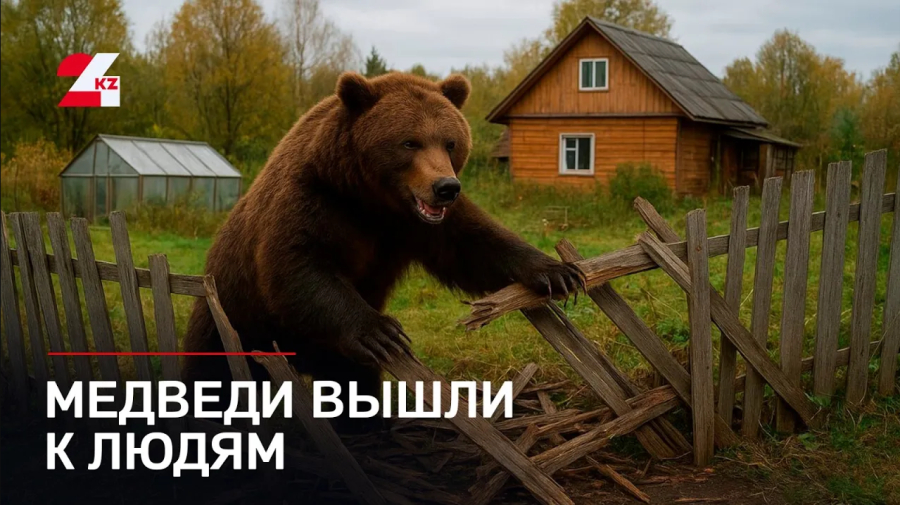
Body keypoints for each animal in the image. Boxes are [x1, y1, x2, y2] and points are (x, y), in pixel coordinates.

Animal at [182, 71, 583, 431]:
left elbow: (475, 245)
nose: (445, 187)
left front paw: (557, 272)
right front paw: (381, 331)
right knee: (211, 373)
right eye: (410, 142)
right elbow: (298, 265)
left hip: (332, 357)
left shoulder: (415, 226)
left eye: (450, 142)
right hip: (234, 319)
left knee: (353, 385)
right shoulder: (312, 201)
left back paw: (364, 424)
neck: (371, 201)